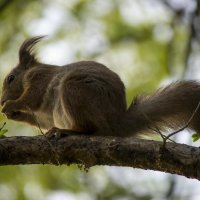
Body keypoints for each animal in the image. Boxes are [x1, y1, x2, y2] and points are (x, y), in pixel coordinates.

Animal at [0, 35, 200, 138]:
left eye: (11, 78)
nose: (2, 100)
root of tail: (114, 123)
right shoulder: (45, 117)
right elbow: (40, 120)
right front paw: (14, 114)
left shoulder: (39, 78)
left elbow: (32, 97)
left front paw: (10, 105)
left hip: (75, 90)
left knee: (87, 128)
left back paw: (65, 131)